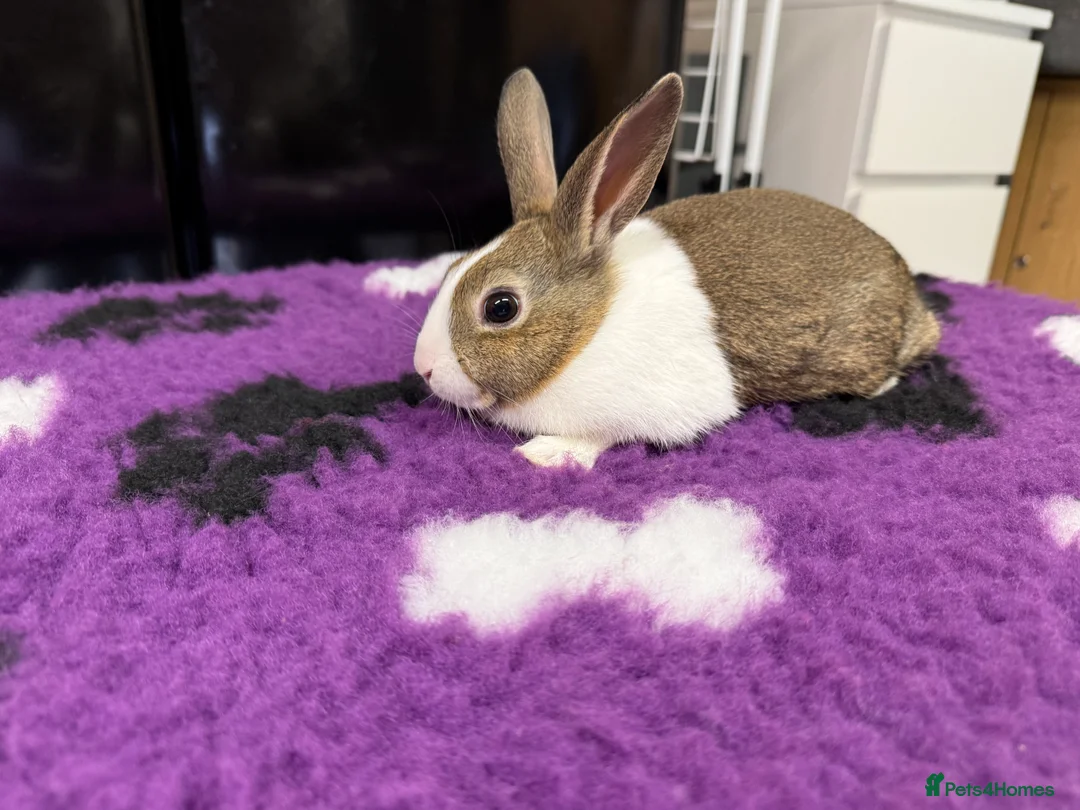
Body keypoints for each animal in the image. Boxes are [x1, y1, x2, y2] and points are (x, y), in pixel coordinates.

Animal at [413, 69, 941, 469]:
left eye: (500, 307)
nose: (423, 368)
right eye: (450, 269)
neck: (589, 330)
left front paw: (547, 453)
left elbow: (602, 434)